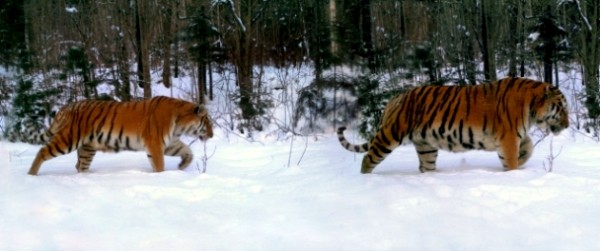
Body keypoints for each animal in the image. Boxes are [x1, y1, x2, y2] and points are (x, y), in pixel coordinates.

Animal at [26, 95, 213, 176]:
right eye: (208, 122)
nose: (212, 135)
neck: (179, 125)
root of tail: (65, 107)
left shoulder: (170, 143)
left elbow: (188, 151)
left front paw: (182, 166)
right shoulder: (155, 144)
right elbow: (159, 165)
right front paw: (162, 176)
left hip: (87, 148)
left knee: (80, 166)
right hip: (68, 139)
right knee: (42, 152)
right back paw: (31, 175)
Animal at [340, 77, 568, 174]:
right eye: (562, 108)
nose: (567, 125)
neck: (531, 109)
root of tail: (395, 97)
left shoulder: (515, 135)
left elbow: (528, 147)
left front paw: (521, 161)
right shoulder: (509, 138)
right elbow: (512, 159)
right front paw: (513, 173)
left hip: (426, 146)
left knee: (426, 166)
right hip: (390, 135)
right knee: (368, 159)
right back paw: (366, 180)